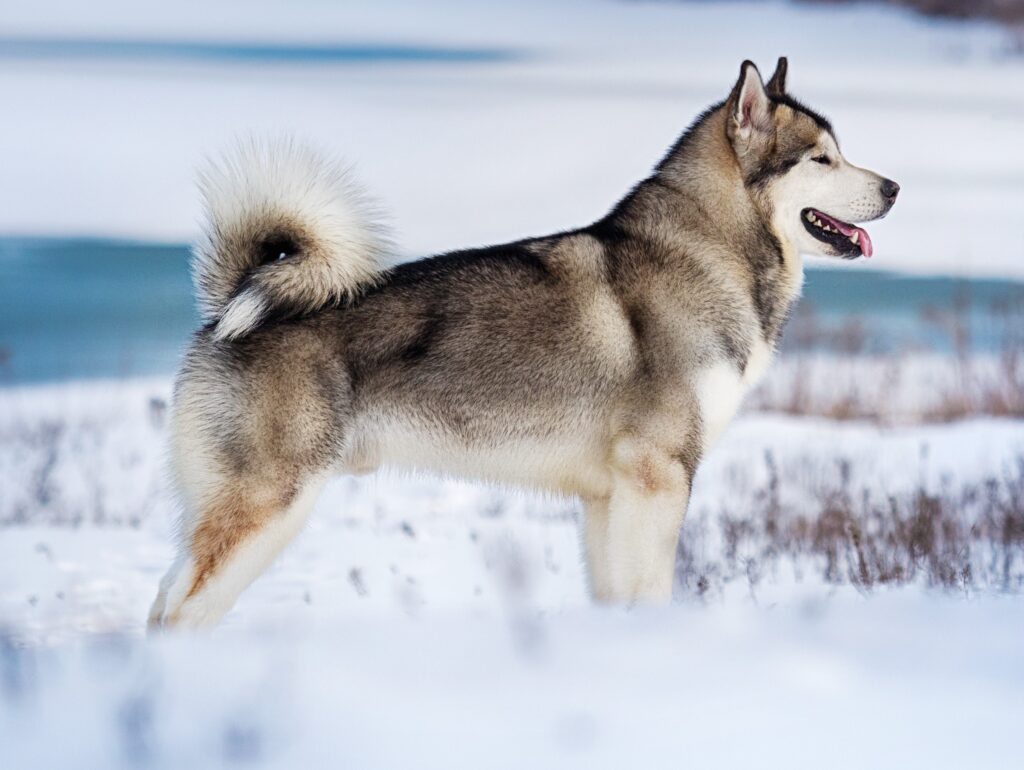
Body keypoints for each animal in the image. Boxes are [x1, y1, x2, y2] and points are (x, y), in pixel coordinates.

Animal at [149, 57, 897, 626]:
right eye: (823, 158)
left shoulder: (609, 497)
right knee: (181, 612)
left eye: (841, 152)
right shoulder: (658, 478)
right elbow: (650, 592)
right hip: (266, 509)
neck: (709, 251)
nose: (893, 186)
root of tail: (230, 308)